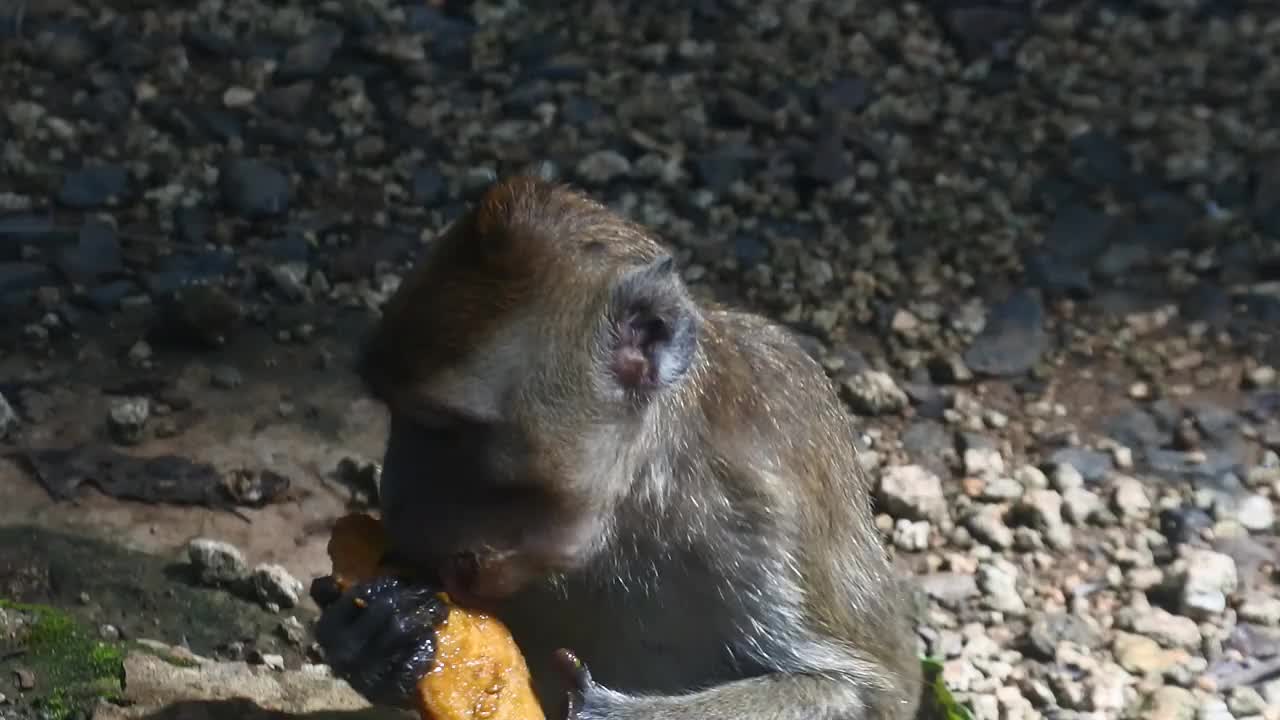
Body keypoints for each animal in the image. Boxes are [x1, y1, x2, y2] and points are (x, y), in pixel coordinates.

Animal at [314, 175, 926, 717]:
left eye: (445, 427)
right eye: (394, 412)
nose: (398, 512)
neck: (636, 502)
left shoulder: (762, 516)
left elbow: (865, 690)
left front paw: (594, 709)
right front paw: (372, 641)